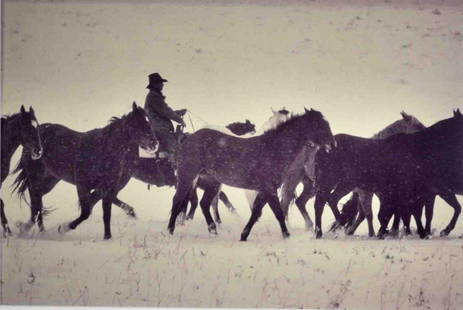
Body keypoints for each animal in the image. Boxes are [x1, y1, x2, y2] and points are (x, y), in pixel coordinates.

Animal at [12, 101, 158, 240]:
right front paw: (62, 228)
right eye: (139, 124)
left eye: (150, 122)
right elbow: (86, 212)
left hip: (51, 179)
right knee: (35, 197)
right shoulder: (83, 185)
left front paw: (107, 238)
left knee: (38, 199)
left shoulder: (107, 189)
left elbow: (106, 215)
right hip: (36, 175)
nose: (155, 144)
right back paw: (32, 230)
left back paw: (31, 229)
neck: (102, 150)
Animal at [169, 108, 336, 241]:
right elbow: (278, 212)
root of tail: (187, 139)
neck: (273, 149)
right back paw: (170, 230)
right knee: (178, 200)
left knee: (204, 204)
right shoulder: (269, 188)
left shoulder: (264, 190)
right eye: (320, 125)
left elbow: (256, 212)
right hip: (187, 176)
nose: (333, 144)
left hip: (213, 183)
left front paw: (244, 235)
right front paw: (287, 236)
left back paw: (213, 231)